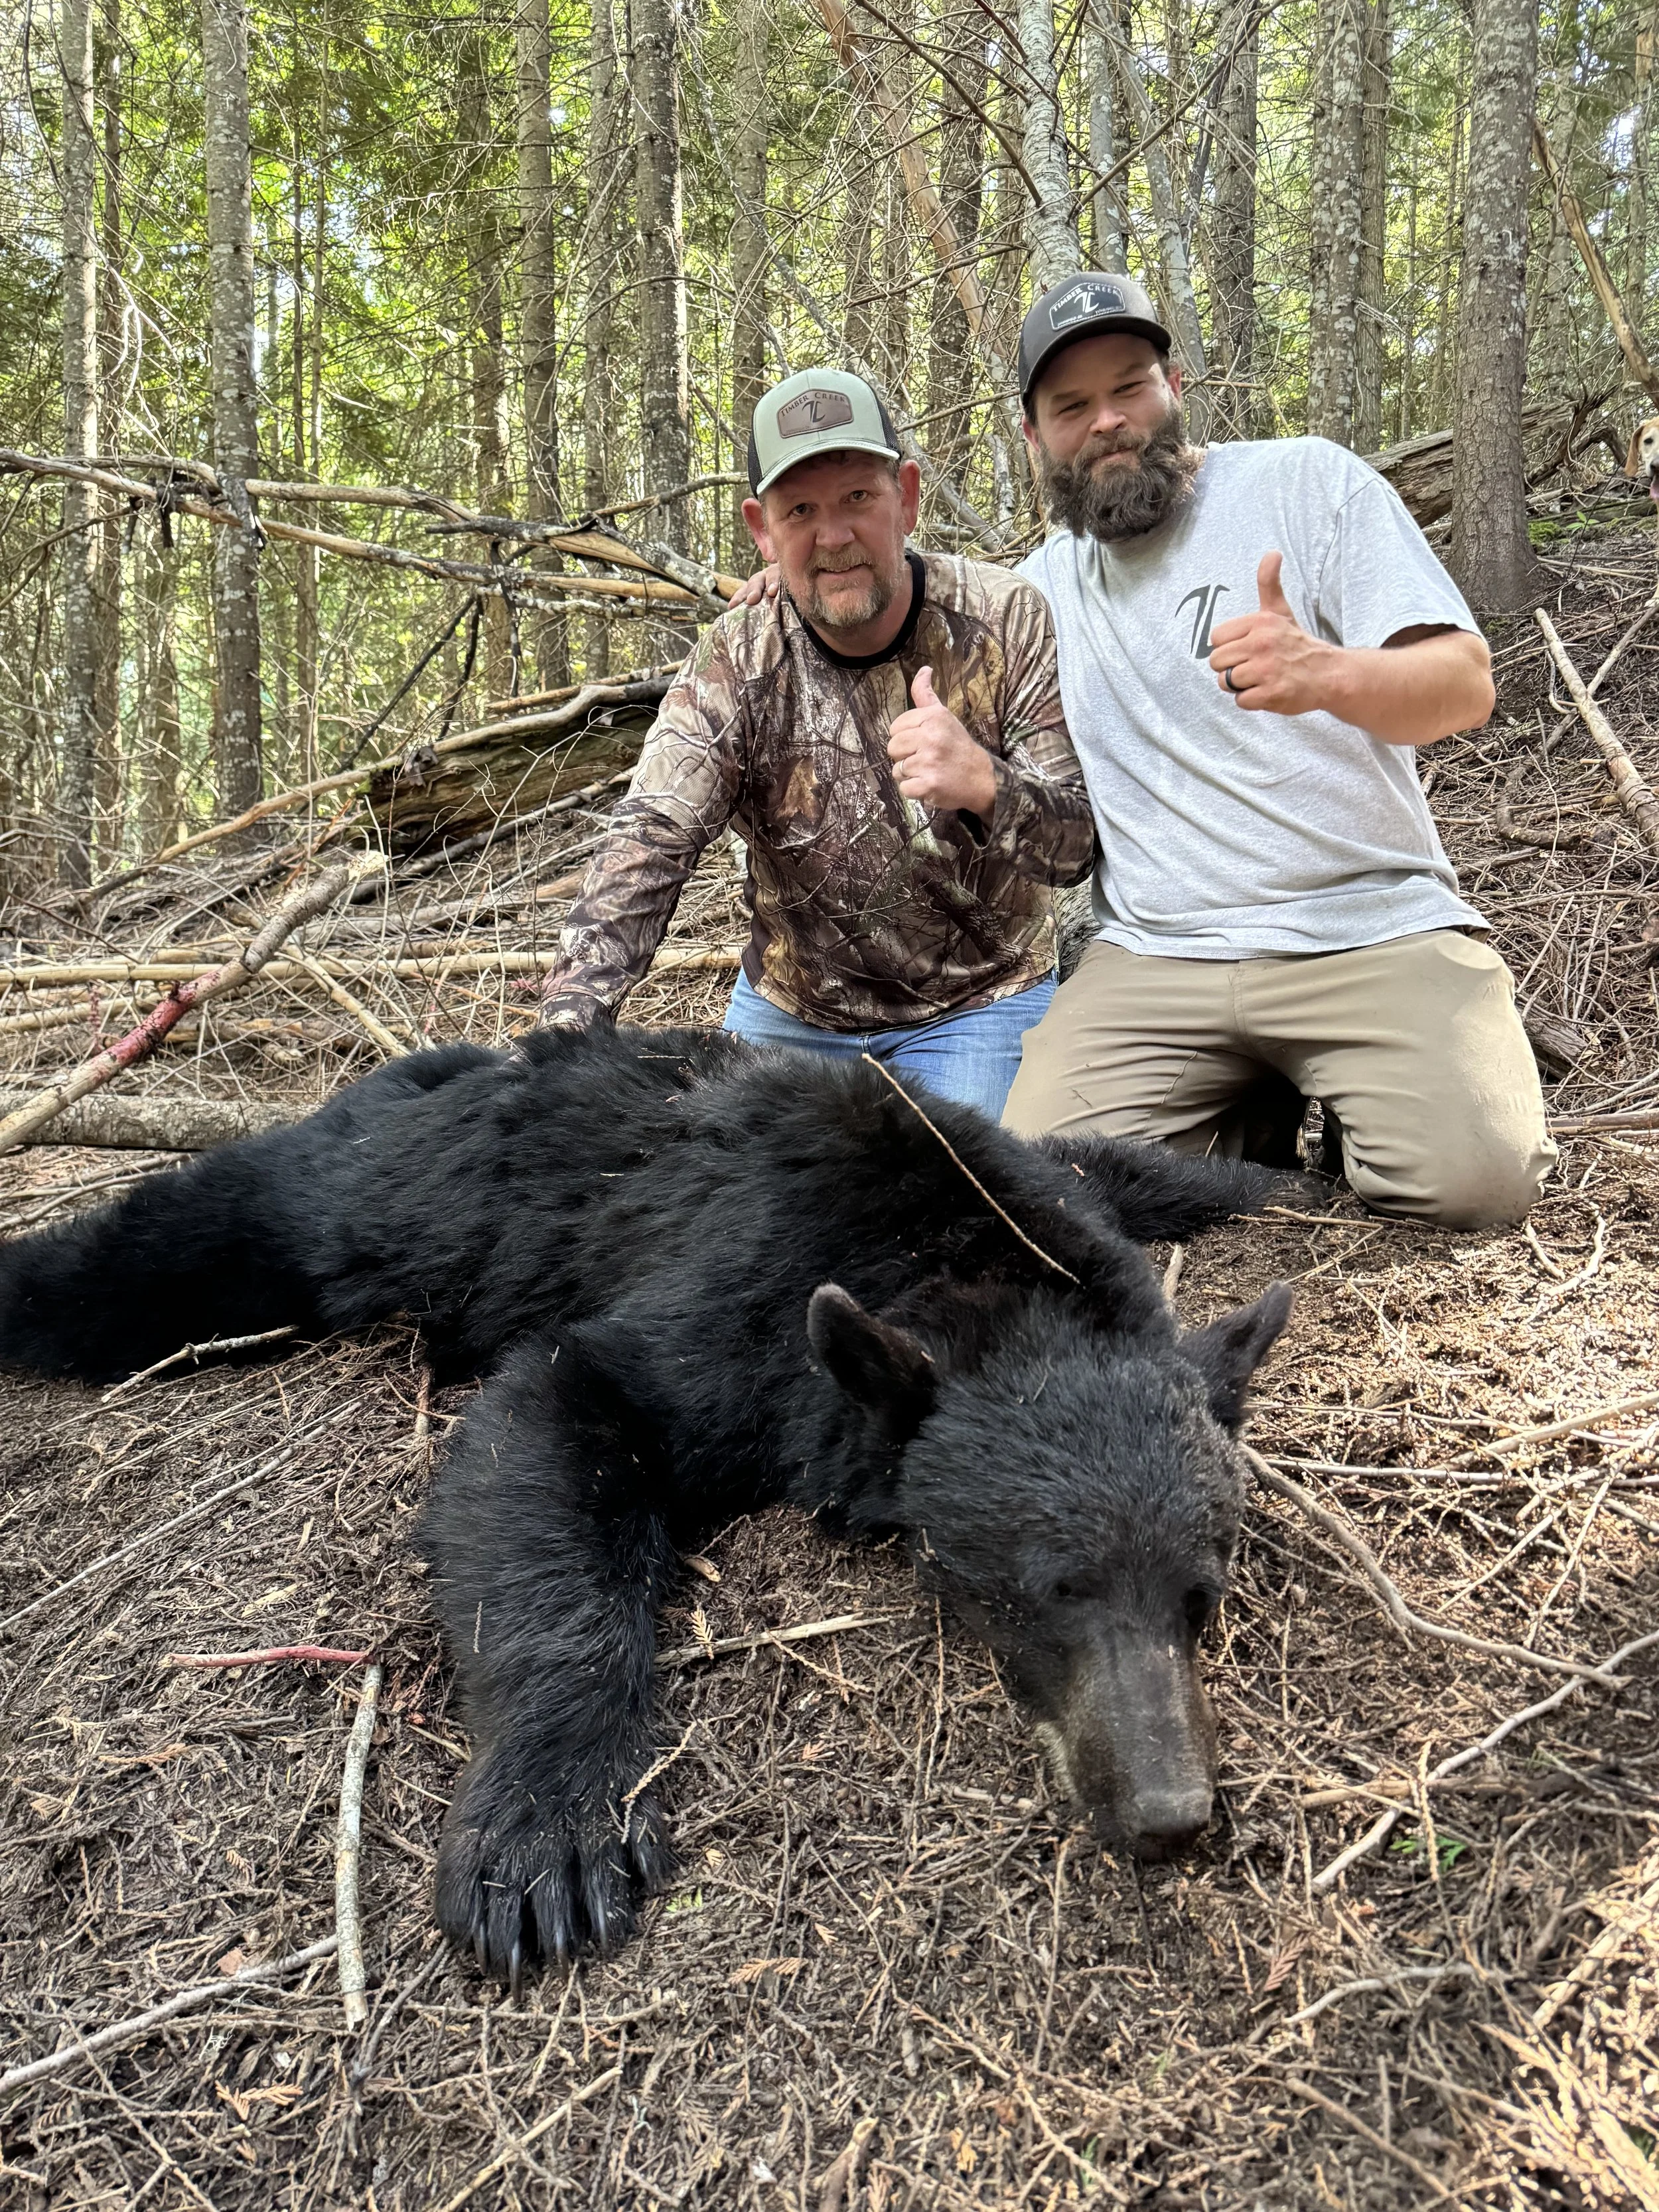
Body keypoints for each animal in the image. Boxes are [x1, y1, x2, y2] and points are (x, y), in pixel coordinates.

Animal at [0, 1024, 1298, 1984]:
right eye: (1046, 1590)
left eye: (1201, 1594)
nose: (1171, 1810)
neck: (957, 1253)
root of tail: (460, 1061)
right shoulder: (744, 1307)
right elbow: (557, 1417)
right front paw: (549, 1838)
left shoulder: (1051, 1187)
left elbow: (1143, 1162)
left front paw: (1282, 1174)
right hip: (352, 1199)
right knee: (165, 1248)